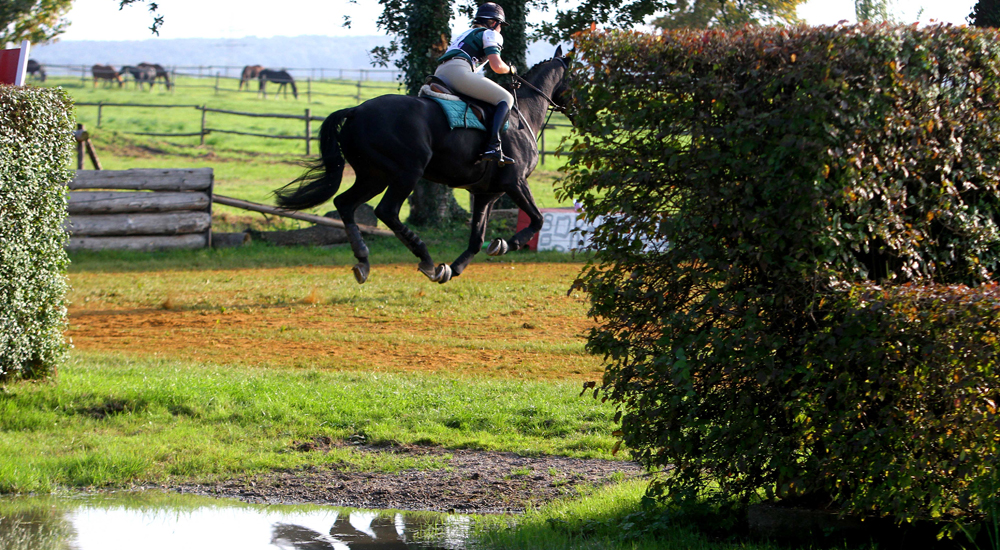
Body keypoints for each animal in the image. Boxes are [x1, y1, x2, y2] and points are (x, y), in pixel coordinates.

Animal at [276, 47, 572, 284]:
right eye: (578, 77)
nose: (578, 110)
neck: (524, 115)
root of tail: (356, 111)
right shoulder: (515, 182)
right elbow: (538, 219)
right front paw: (508, 244)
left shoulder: (486, 193)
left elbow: (477, 239)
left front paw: (454, 268)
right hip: (407, 172)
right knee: (386, 211)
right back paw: (426, 260)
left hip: (373, 176)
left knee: (345, 203)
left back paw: (363, 260)